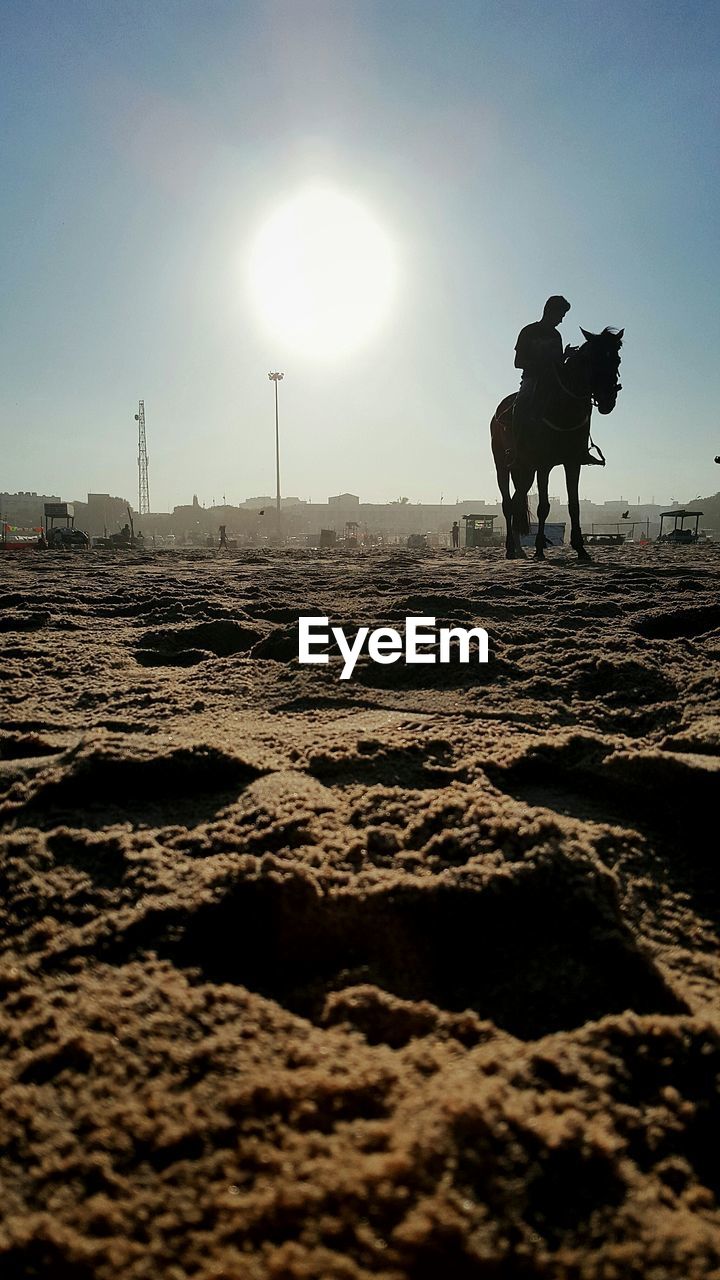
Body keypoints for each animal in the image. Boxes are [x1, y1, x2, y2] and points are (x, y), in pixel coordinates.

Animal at [489, 327, 620, 558]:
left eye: (617, 360)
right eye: (591, 360)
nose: (607, 399)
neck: (563, 408)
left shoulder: (573, 462)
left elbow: (574, 505)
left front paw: (580, 548)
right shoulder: (543, 465)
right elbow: (543, 506)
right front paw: (540, 548)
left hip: (525, 470)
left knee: (517, 501)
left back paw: (519, 549)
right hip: (503, 466)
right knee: (507, 503)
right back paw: (510, 549)